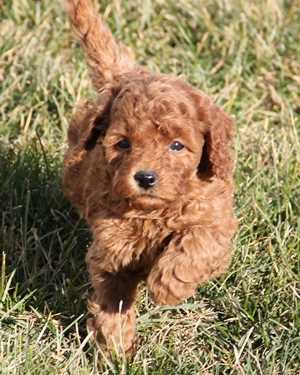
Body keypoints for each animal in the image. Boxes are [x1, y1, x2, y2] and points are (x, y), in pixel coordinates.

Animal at [64, 0, 238, 356]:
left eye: (177, 145)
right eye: (123, 144)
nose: (145, 177)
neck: (156, 211)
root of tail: (127, 73)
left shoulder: (214, 219)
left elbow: (196, 245)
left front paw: (167, 285)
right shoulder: (110, 251)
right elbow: (113, 295)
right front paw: (115, 347)